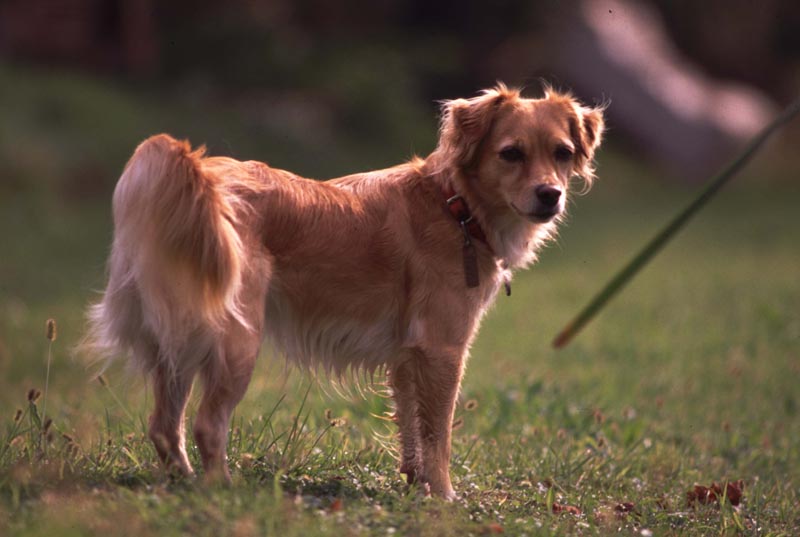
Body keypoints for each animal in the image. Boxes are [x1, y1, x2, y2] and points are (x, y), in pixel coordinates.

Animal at [86, 84, 600, 498]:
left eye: (562, 152)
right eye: (511, 153)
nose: (550, 195)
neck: (453, 204)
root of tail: (203, 175)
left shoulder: (407, 358)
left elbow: (412, 429)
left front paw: (415, 487)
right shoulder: (443, 350)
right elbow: (438, 437)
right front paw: (444, 498)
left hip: (178, 340)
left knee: (163, 426)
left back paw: (185, 482)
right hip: (237, 343)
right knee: (208, 425)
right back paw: (223, 489)